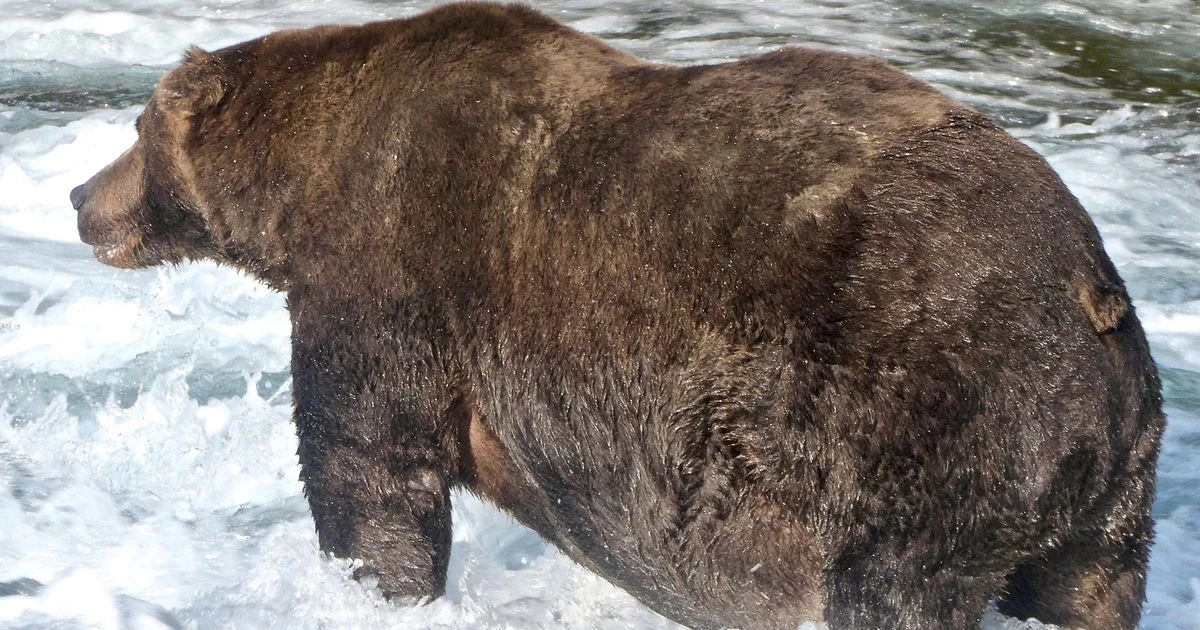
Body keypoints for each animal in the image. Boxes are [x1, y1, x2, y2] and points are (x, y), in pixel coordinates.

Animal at [69, 3, 1164, 629]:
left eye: (136, 130)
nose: (80, 197)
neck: (303, 186)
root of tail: (1092, 293)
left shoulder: (393, 267)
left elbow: (368, 461)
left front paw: (372, 585)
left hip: (921, 423)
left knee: (891, 591)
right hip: (1102, 490)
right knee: (1084, 592)